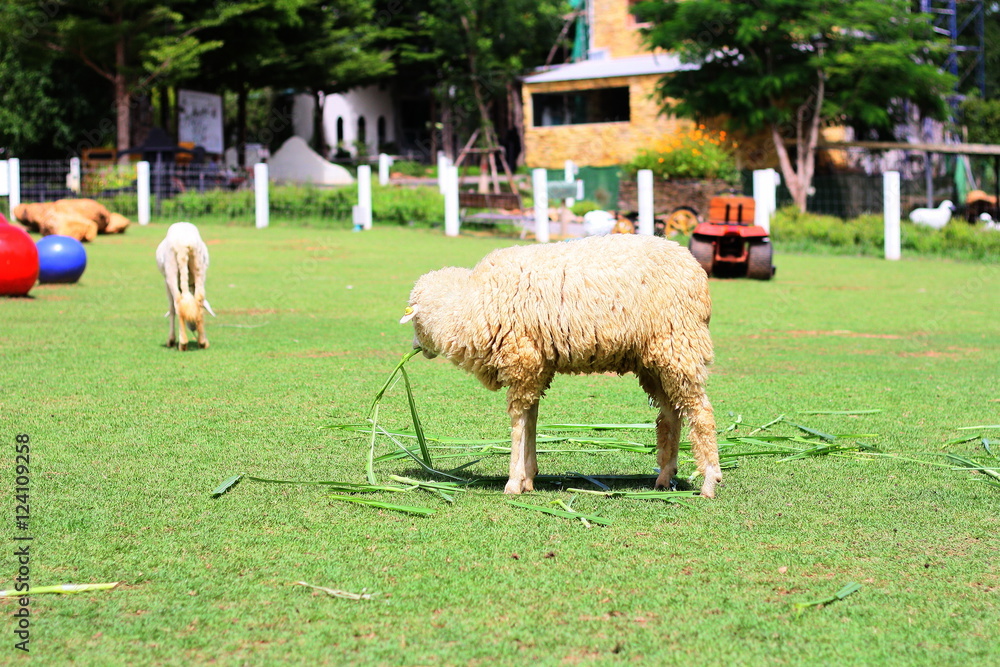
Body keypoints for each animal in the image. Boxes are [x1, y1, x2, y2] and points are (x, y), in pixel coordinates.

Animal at [155, 222, 215, 350]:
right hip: (199, 266)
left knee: (177, 303)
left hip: (171, 270)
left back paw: (182, 343)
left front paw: (171, 340)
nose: (193, 327)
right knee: (199, 299)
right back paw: (202, 342)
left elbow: (171, 309)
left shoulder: (166, 283)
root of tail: (184, 244)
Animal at [400, 233, 722, 498]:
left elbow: (518, 423)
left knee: (701, 412)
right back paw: (665, 476)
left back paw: (709, 480)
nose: (415, 348)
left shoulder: (522, 360)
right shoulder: (536, 368)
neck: (472, 304)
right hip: (655, 361)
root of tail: (695, 268)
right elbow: (531, 418)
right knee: (672, 414)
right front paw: (529, 477)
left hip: (679, 345)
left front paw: (514, 482)